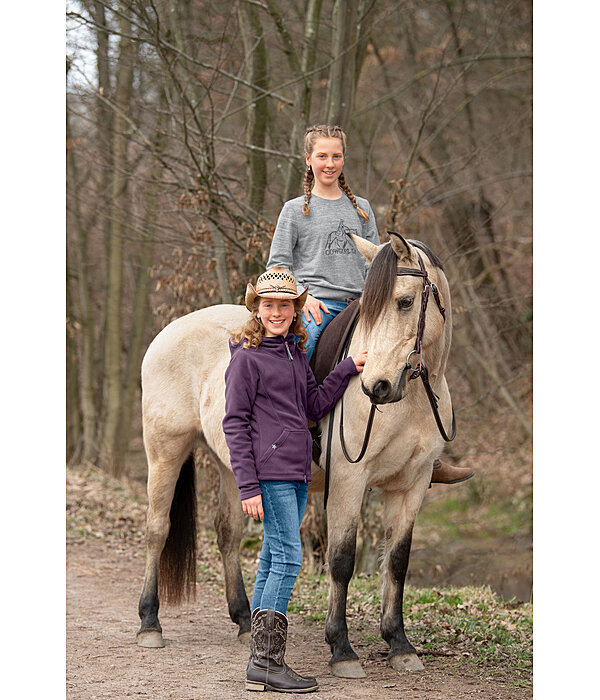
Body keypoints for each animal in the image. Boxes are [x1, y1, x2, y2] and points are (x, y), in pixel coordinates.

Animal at [137, 232, 454, 680]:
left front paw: (399, 644)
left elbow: (397, 561)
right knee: (157, 530)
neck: (410, 402)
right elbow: (342, 561)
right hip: (165, 452)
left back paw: (244, 618)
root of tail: (167, 333)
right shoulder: (349, 482)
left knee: (228, 532)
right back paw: (150, 622)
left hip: (232, 466)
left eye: (404, 302)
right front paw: (341, 648)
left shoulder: (411, 486)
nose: (375, 386)